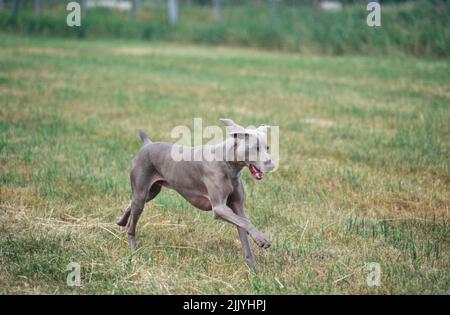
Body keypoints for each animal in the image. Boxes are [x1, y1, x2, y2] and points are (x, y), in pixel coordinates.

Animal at [116, 118, 276, 270]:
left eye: (267, 147)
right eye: (255, 148)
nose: (271, 165)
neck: (228, 164)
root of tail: (147, 144)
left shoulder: (238, 207)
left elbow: (243, 228)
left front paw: (254, 268)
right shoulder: (219, 208)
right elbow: (245, 222)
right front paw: (262, 239)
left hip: (151, 192)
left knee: (131, 205)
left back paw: (121, 221)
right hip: (142, 191)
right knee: (132, 224)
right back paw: (134, 252)